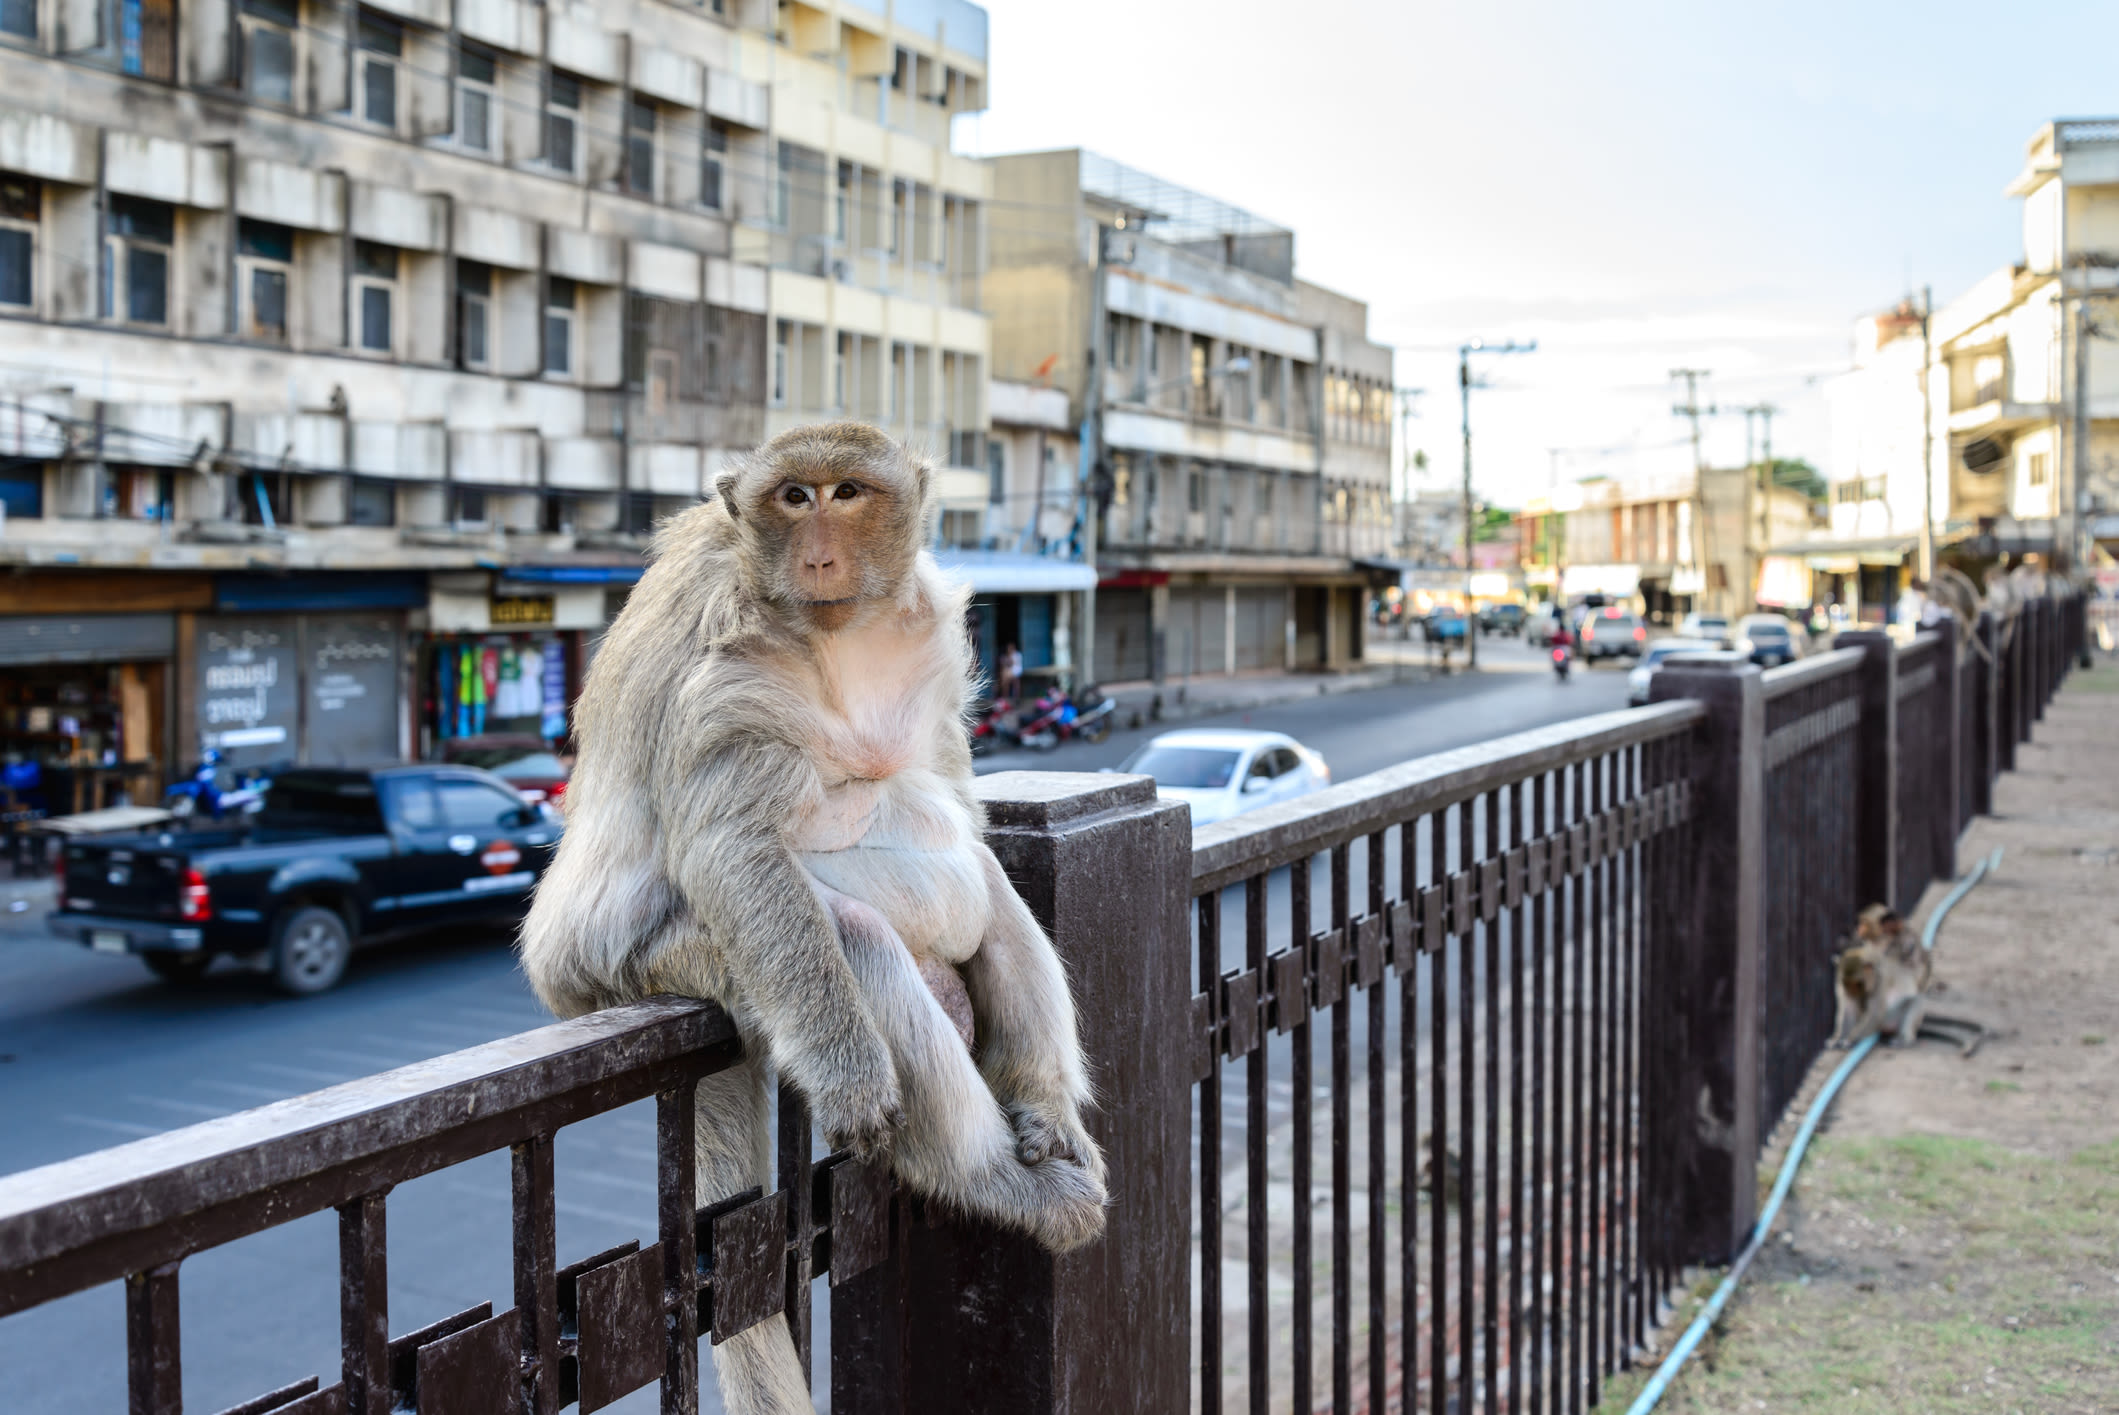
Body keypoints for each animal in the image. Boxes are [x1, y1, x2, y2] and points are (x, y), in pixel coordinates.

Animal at [519, 419, 1110, 1415]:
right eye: (792, 497)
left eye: (846, 492)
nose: (818, 551)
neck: (834, 630)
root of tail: (564, 975)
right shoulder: (730, 659)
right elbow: (736, 847)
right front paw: (853, 1079)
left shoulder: (923, 624)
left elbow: (949, 794)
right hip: (669, 958)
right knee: (855, 942)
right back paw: (987, 1176)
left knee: (986, 886)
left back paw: (1042, 1110)